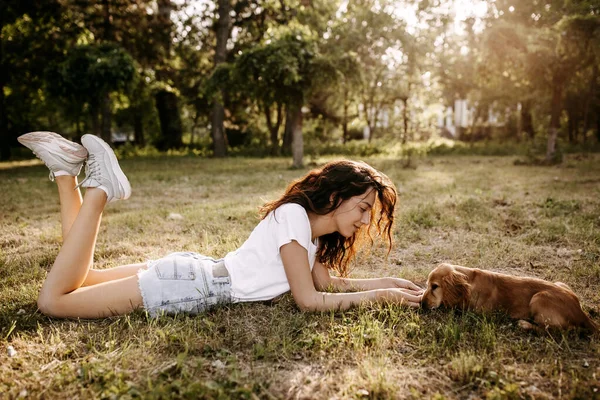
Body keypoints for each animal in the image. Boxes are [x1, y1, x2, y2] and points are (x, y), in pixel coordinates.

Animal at [420, 262, 596, 332]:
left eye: (435, 286)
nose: (422, 304)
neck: (470, 281)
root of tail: (582, 314)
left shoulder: (476, 313)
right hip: (561, 284)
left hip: (539, 298)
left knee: (556, 330)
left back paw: (525, 325)